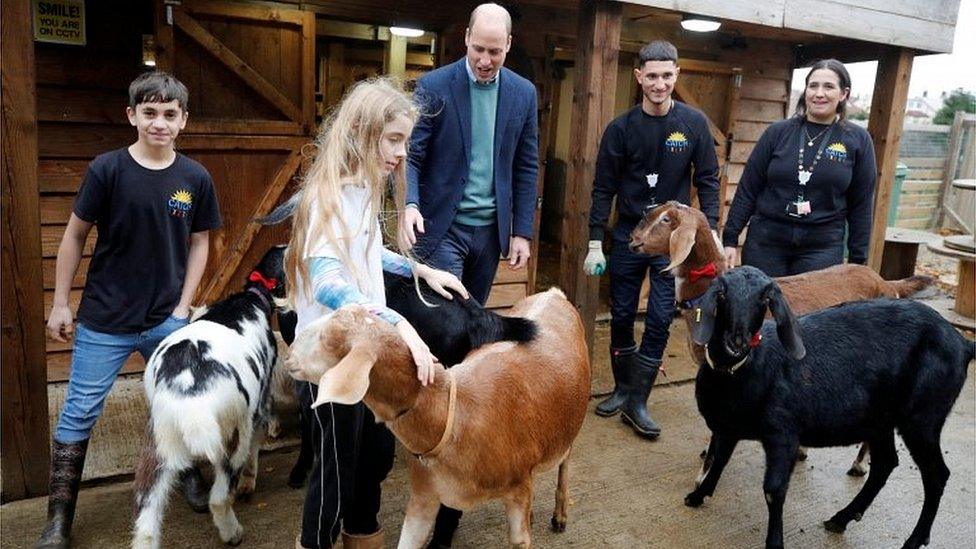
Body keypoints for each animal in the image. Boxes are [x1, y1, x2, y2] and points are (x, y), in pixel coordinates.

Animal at [132, 246, 286, 544]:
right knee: (218, 498)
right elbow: (255, 447)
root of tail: (186, 388)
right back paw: (233, 534)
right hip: (232, 434)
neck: (250, 299)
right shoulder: (258, 408)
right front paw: (248, 485)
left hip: (157, 442)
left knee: (146, 514)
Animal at [282, 288, 588, 544]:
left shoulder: (517, 489)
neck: (453, 415)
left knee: (566, 458)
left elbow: (519, 537)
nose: (289, 353)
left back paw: (560, 514)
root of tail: (552, 293)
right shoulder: (424, 496)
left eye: (328, 339)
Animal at [684, 266, 972, 548]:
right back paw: (842, 518)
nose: (737, 341)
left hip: (923, 417)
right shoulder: (728, 427)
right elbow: (718, 460)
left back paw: (913, 540)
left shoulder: (783, 434)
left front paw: (774, 542)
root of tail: (965, 344)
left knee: (936, 474)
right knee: (885, 463)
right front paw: (697, 495)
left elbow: (773, 489)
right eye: (722, 294)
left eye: (765, 299)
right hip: (880, 420)